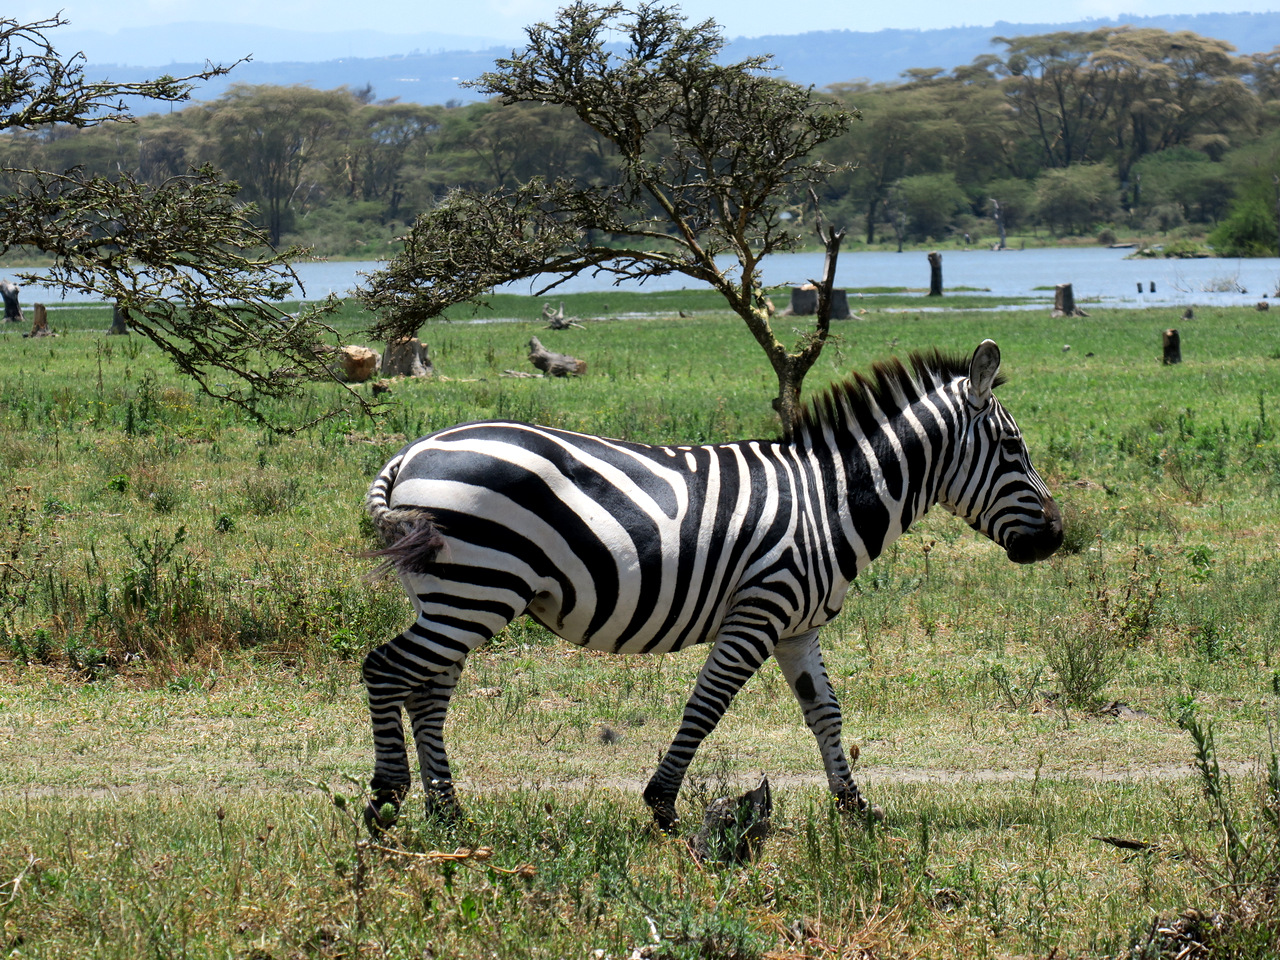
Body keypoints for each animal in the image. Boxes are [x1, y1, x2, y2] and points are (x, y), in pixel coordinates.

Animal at [360, 339, 1062, 832]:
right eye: (1013, 447)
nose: (1055, 537)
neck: (829, 500)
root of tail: (409, 454)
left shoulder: (798, 626)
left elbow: (825, 713)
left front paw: (854, 807)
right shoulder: (759, 611)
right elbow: (706, 706)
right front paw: (662, 805)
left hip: (456, 595)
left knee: (429, 689)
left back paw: (447, 811)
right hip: (478, 588)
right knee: (385, 669)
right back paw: (387, 803)